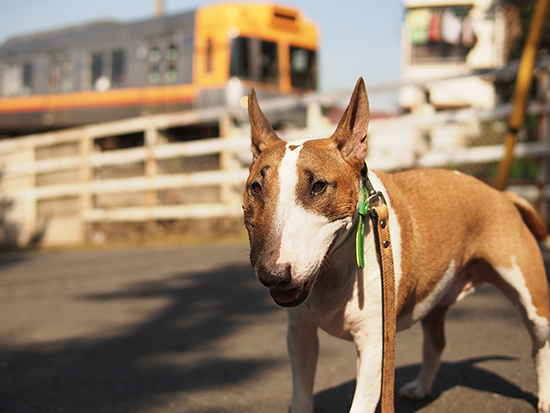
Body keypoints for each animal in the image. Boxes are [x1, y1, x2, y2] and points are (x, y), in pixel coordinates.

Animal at [244, 78, 550, 412]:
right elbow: (301, 395)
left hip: (532, 299)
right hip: (436, 295)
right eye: (255, 188)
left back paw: (545, 397)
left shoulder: (374, 344)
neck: (335, 268)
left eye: (318, 186)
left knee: (540, 344)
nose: (273, 276)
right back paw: (420, 387)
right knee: (436, 342)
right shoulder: (300, 334)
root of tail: (501, 195)